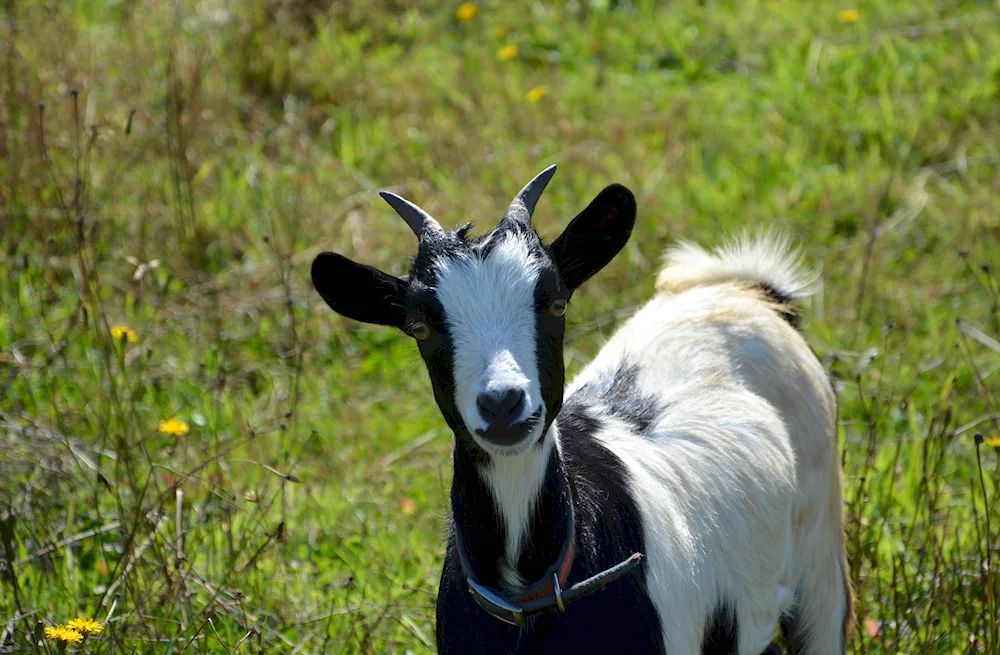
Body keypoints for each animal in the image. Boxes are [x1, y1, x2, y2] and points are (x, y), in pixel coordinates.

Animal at [312, 167, 852, 652]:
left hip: (821, 553)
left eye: (555, 303)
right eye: (420, 327)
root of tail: (748, 291)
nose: (503, 404)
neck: (528, 591)